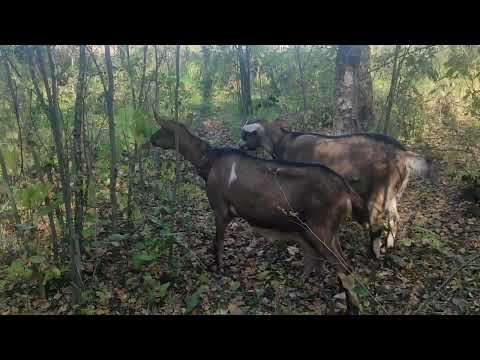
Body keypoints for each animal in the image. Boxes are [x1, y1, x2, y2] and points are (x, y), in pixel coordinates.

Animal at [152, 115, 370, 312]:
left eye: (162, 130)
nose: (150, 139)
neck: (209, 162)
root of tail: (347, 190)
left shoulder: (221, 209)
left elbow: (218, 243)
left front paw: (219, 270)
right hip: (328, 231)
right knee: (339, 265)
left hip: (319, 229)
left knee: (344, 268)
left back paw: (352, 306)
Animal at [240, 118, 438, 258]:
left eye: (245, 135)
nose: (240, 146)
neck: (283, 140)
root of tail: (402, 153)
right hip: (392, 194)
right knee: (395, 219)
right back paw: (388, 245)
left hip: (379, 193)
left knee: (377, 226)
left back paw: (374, 253)